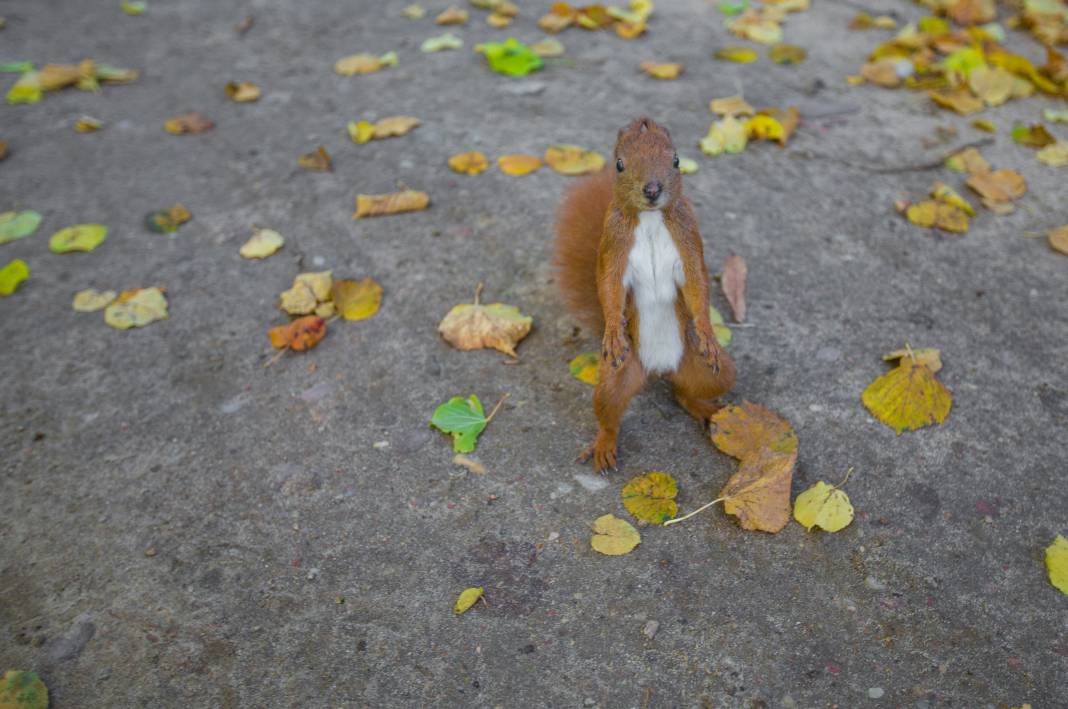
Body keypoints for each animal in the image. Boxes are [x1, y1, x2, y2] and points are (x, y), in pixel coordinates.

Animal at [551, 116, 734, 474]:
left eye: (676, 160)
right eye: (619, 164)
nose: (652, 190)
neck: (649, 219)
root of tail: (659, 369)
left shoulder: (688, 237)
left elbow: (697, 284)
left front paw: (707, 331)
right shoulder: (613, 244)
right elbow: (609, 287)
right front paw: (612, 330)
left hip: (712, 372)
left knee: (684, 392)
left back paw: (704, 407)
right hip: (616, 377)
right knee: (609, 412)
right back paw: (604, 445)